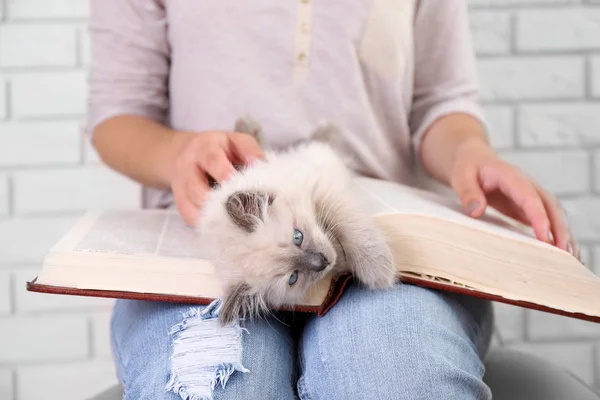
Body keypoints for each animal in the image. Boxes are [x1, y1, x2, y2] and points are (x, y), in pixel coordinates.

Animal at [197, 115, 398, 324]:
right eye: (293, 278)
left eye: (297, 237)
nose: (323, 262)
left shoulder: (321, 187)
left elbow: (353, 227)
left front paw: (379, 271)